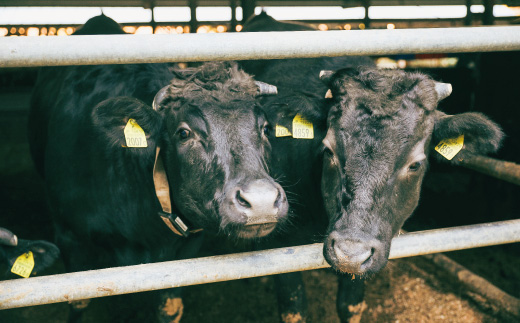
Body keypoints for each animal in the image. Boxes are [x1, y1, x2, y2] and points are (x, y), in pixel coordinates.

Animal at [243, 12, 504, 323]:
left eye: (415, 164)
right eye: (328, 150)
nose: (350, 253)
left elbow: (350, 305)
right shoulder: (281, 242)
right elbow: (294, 309)